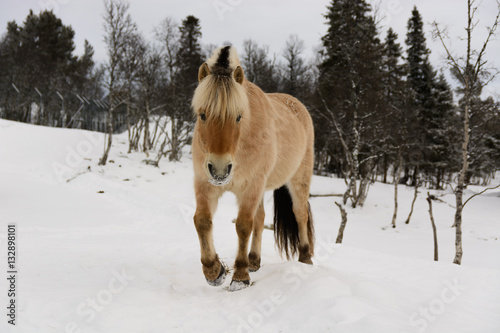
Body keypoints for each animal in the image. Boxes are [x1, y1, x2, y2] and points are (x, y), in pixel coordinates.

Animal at [192, 44, 314, 290]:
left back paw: (305, 258)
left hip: (298, 180)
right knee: (261, 218)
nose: (220, 170)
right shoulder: (204, 183)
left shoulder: (251, 187)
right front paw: (214, 271)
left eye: (239, 117)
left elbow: (243, 225)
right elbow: (202, 221)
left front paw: (240, 276)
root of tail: (297, 105)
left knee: (300, 214)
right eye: (203, 115)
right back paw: (254, 261)